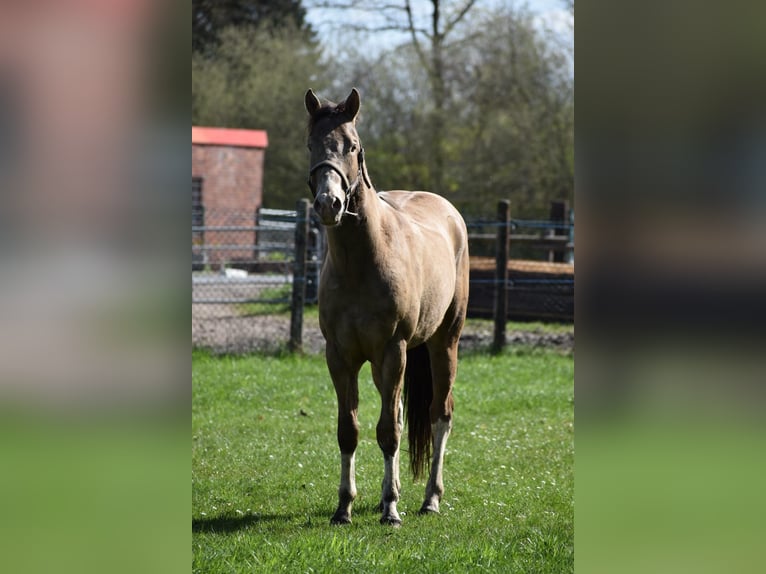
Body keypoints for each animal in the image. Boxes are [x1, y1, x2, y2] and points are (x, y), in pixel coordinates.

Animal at [305, 88, 469, 526]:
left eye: (352, 145)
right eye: (311, 145)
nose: (329, 203)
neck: (362, 261)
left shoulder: (393, 350)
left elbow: (390, 434)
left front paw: (392, 510)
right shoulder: (340, 356)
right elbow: (350, 430)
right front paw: (344, 507)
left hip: (443, 343)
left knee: (440, 413)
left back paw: (430, 499)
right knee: (394, 411)